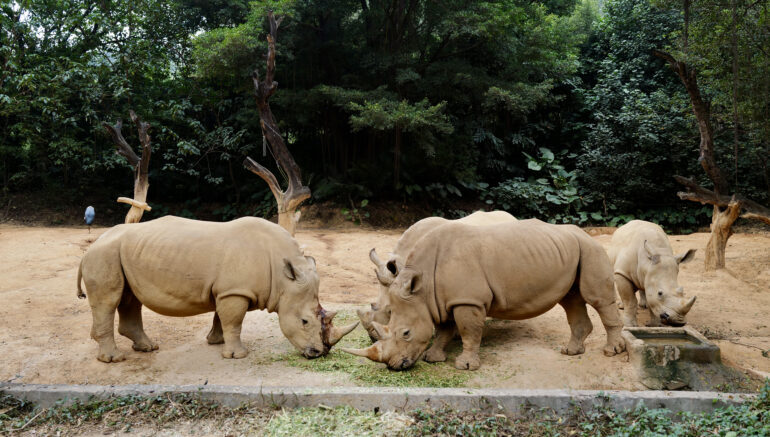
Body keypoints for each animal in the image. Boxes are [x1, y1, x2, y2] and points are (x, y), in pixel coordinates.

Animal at [76, 216, 357, 363]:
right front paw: (237, 355)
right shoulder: (235, 291)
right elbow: (234, 321)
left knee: (129, 299)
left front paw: (215, 341)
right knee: (110, 301)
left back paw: (148, 348)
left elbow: (221, 318)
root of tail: (93, 244)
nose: (319, 353)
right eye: (305, 321)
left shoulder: (227, 290)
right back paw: (114, 359)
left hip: (121, 254)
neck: (282, 277)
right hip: (104, 254)